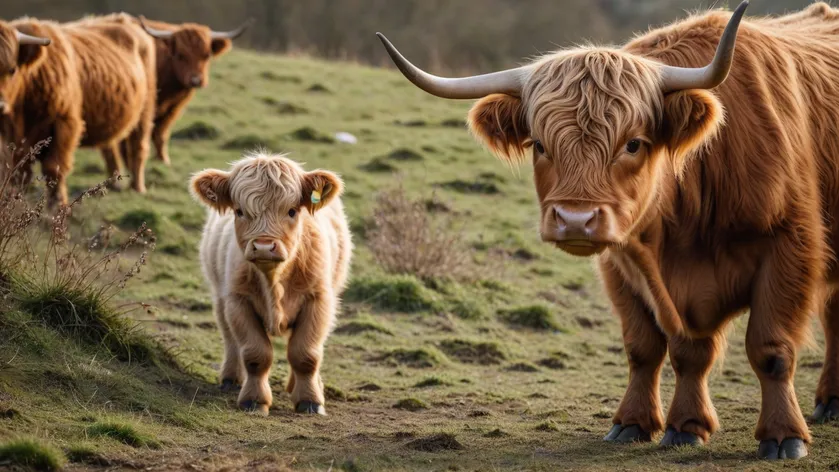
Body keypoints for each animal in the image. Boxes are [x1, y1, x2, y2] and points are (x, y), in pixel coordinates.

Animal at [190, 151, 352, 412]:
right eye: (239, 211)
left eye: (292, 211)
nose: (264, 246)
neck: (273, 280)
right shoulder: (238, 301)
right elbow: (255, 354)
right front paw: (254, 400)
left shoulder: (318, 300)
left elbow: (306, 354)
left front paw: (310, 400)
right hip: (220, 297)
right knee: (230, 339)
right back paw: (230, 378)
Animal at [378, 0, 839, 458]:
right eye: (540, 145)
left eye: (633, 143)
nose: (574, 220)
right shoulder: (623, 264)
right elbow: (653, 348)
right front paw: (658, 424)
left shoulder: (791, 248)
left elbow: (770, 349)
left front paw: (783, 436)